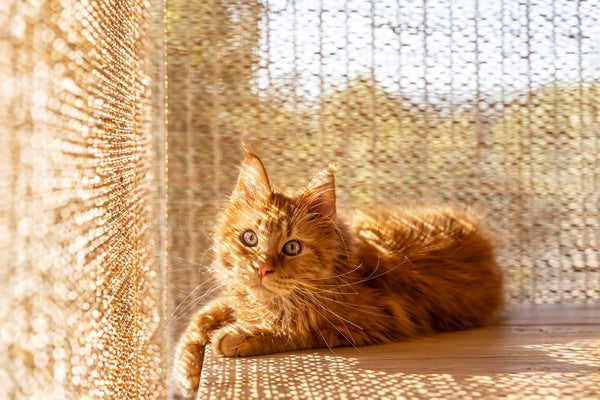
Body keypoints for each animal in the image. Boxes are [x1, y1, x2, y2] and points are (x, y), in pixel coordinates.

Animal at [173, 145, 502, 396]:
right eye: (250, 238)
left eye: (292, 247)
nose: (262, 268)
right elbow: (208, 313)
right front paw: (188, 365)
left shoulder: (373, 317)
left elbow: (297, 329)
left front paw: (240, 336)